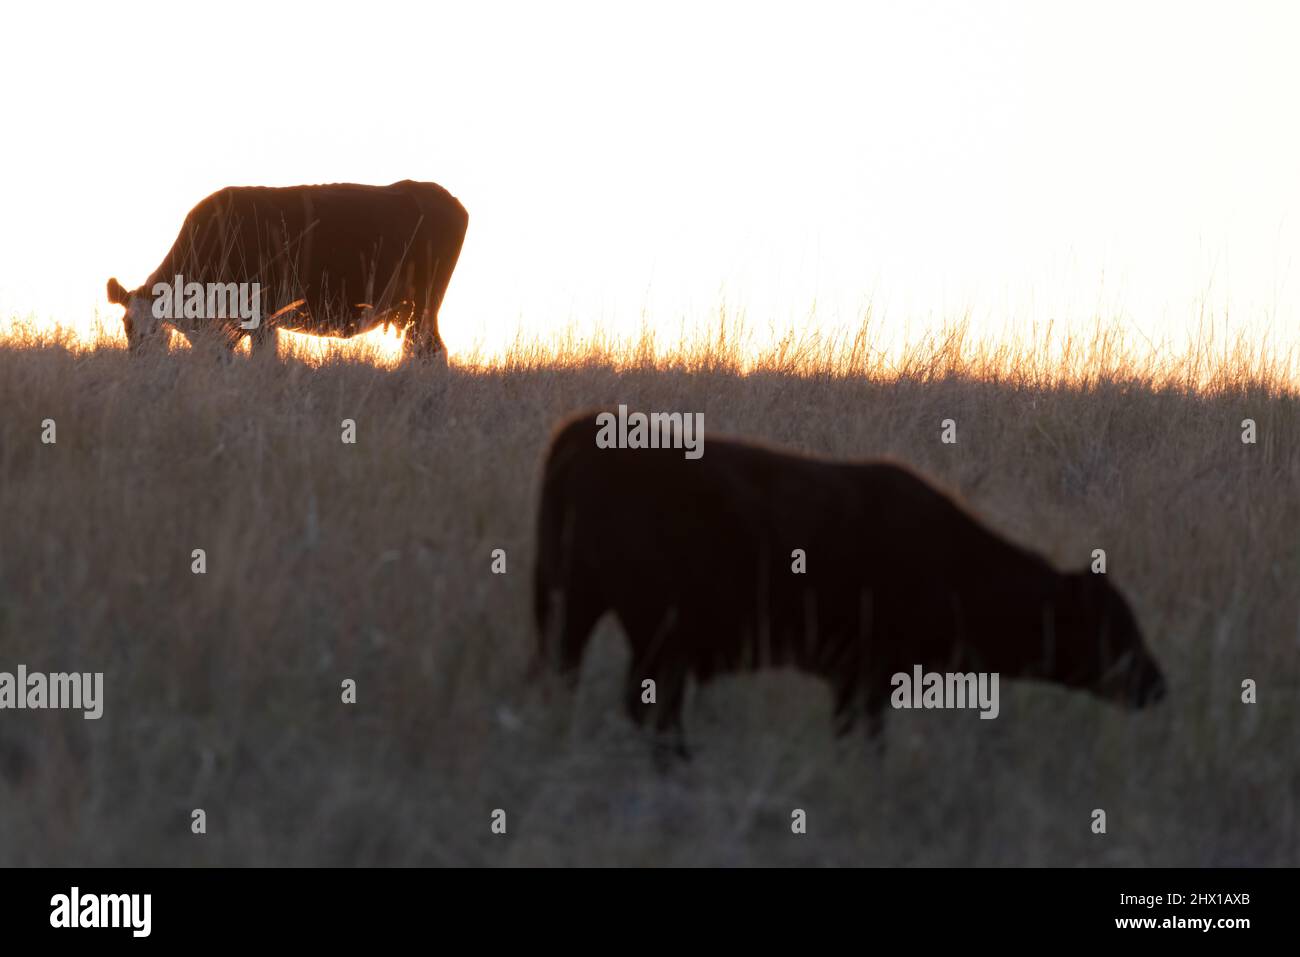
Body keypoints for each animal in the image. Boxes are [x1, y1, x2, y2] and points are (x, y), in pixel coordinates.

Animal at [106, 180, 468, 359]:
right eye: (127, 325)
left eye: (156, 330)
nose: (141, 362)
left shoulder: (259, 316)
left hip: (423, 308)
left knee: (431, 352)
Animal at [533, 411, 1166, 758]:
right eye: (1113, 627)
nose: (1157, 685)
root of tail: (585, 430)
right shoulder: (864, 678)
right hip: (655, 637)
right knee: (650, 711)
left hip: (576, 610)